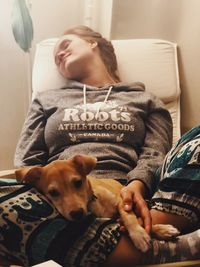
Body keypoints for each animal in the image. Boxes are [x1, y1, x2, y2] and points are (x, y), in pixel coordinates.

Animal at [14, 155, 179, 253]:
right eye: (53, 193)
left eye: (78, 182)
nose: (77, 213)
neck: (93, 202)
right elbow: (139, 222)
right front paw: (148, 232)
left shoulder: (122, 202)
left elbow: (130, 217)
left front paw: (139, 235)